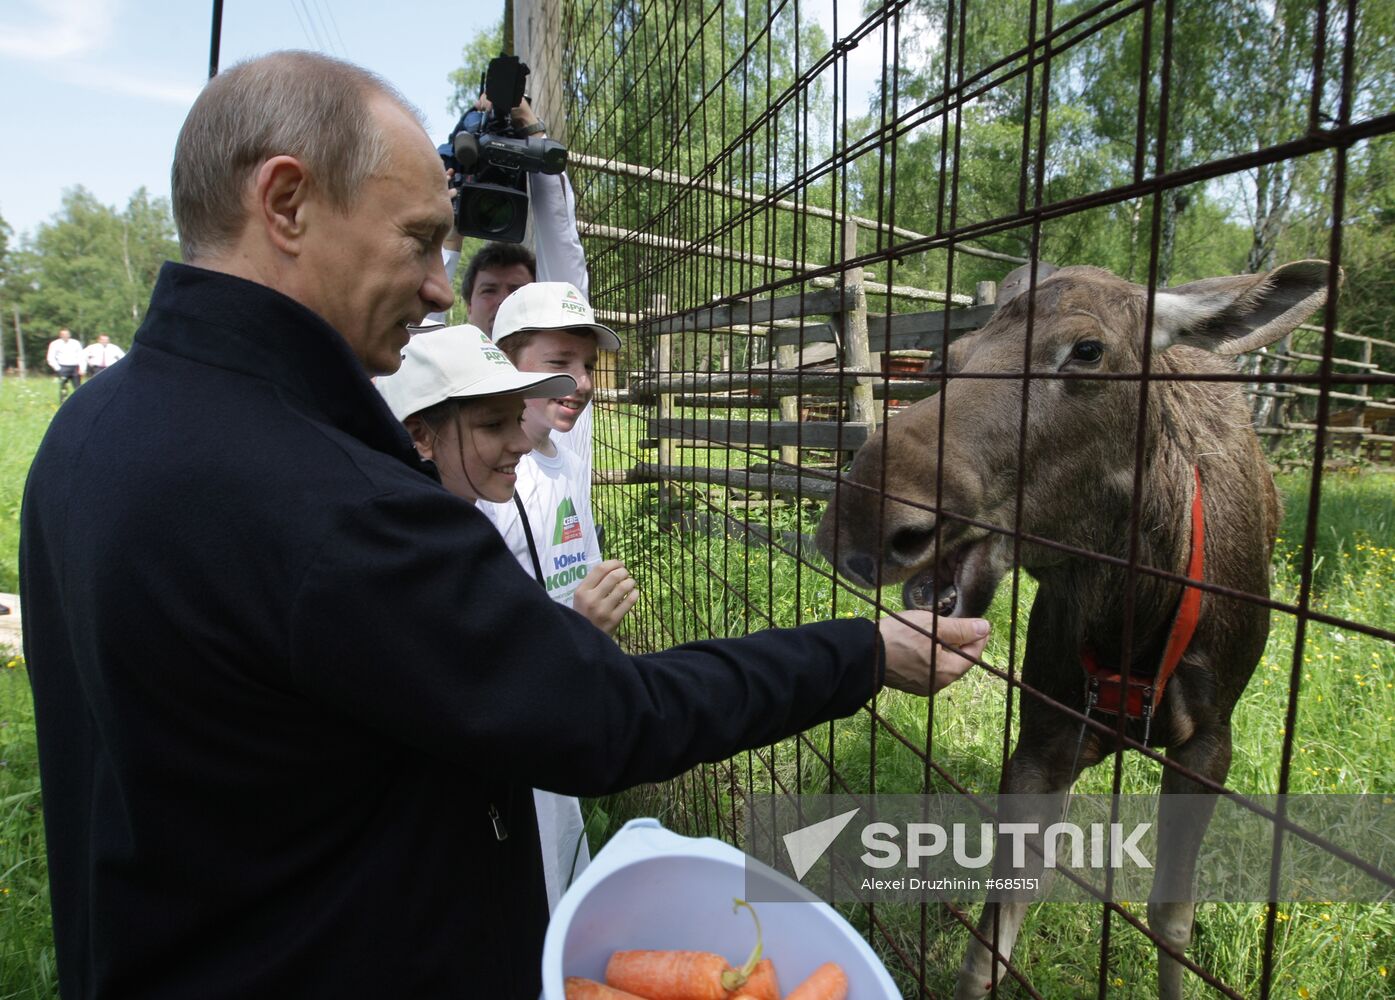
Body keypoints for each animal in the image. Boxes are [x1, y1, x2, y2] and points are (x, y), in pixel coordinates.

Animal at [814, 259, 1328, 998]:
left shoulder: (1209, 741)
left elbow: (1171, 921)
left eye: (1088, 350)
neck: (1135, 623)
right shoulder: (1044, 734)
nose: (859, 521)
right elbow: (990, 940)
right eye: (950, 359)